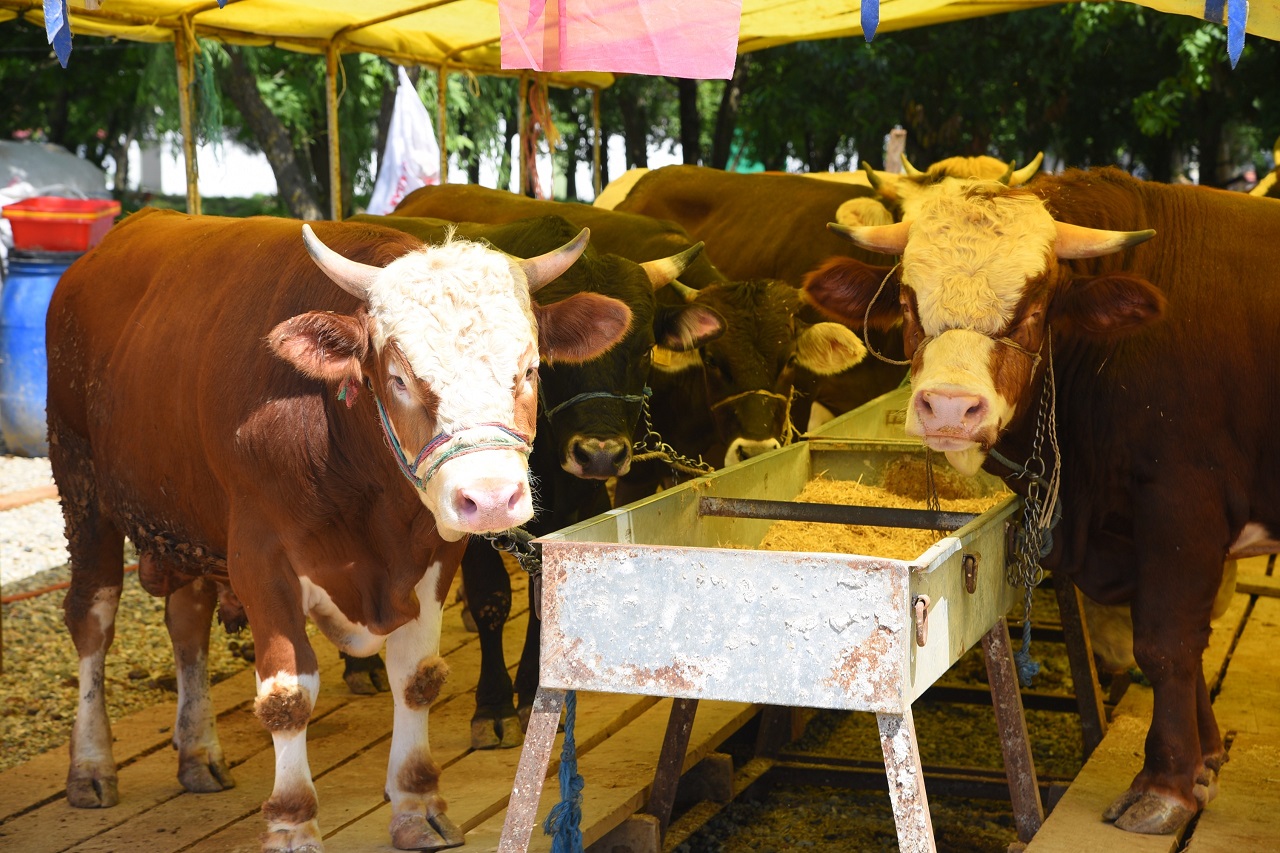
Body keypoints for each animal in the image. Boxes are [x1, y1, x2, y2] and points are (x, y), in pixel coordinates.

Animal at [48, 207, 629, 850]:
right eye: (399, 378)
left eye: (528, 369)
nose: (491, 498)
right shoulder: (260, 559)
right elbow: (287, 697)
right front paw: (292, 821)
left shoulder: (431, 556)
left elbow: (417, 677)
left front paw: (416, 802)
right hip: (80, 482)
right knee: (92, 617)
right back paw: (91, 766)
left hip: (185, 521)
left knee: (188, 622)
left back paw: (199, 753)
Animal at [798, 169, 1280, 835]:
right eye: (908, 302)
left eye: (1032, 309)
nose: (949, 408)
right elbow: (1191, 640)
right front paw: (1205, 760)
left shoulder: (1181, 504)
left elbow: (1167, 642)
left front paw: (1165, 786)